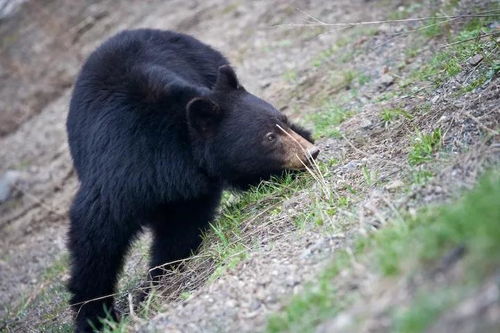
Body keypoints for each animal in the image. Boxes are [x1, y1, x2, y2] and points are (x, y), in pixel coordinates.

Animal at [66, 29, 318, 332]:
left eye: (282, 119)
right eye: (269, 137)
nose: (310, 152)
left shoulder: (190, 190)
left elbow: (180, 229)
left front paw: (159, 276)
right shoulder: (119, 171)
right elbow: (97, 234)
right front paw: (95, 315)